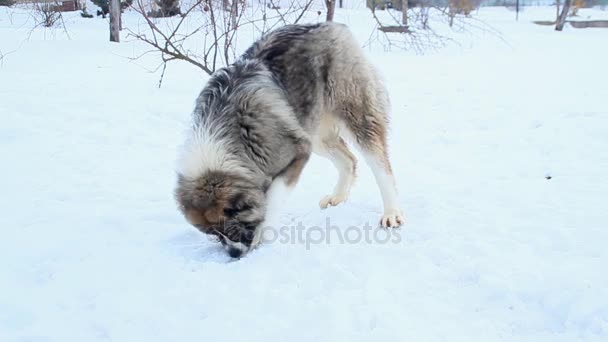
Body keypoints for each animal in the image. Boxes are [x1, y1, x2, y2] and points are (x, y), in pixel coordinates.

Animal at [175, 22, 404, 256]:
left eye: (230, 228)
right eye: (214, 235)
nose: (234, 254)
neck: (233, 139)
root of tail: (334, 26)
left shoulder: (298, 154)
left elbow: (273, 198)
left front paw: (264, 236)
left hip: (355, 118)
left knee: (381, 166)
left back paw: (391, 213)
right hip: (314, 132)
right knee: (349, 160)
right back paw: (338, 197)